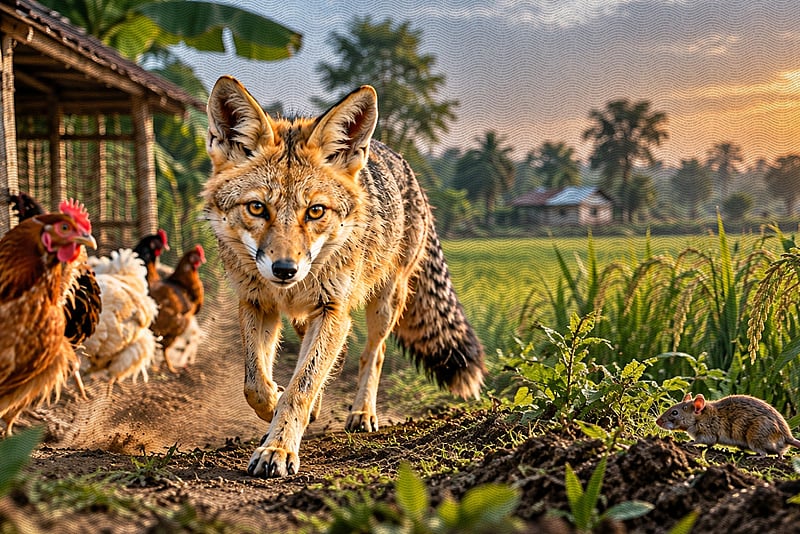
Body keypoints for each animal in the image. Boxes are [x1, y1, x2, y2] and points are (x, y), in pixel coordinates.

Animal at [203, 75, 485, 478]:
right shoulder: (257, 303)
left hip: (384, 304)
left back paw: (362, 413)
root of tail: (400, 162)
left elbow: (301, 387)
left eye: (315, 211)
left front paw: (278, 449)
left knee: (374, 354)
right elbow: (256, 384)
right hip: (317, 314)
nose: (285, 270)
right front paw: (275, 408)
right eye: (257, 208)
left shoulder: (332, 309)